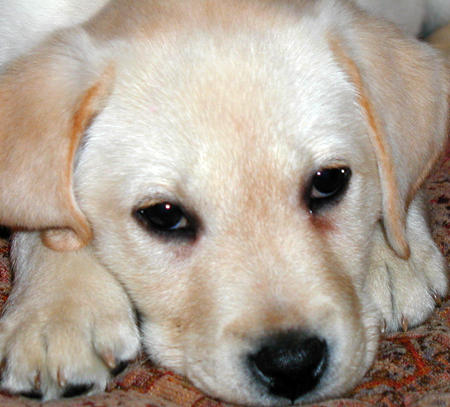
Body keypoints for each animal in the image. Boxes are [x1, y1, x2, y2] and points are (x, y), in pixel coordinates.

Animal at [0, 0, 448, 406]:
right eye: (164, 215)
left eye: (328, 182)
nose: (292, 364)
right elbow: (44, 212)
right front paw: (56, 312)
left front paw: (394, 255)